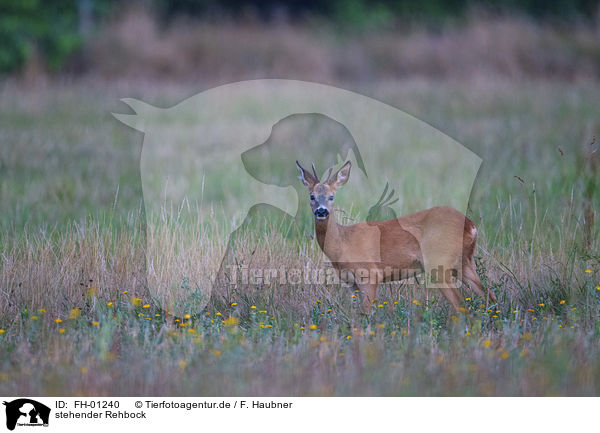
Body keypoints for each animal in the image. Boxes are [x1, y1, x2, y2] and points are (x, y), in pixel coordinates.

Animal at [296, 159, 496, 310]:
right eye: (312, 196)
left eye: (332, 196)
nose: (321, 211)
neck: (342, 244)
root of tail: (471, 225)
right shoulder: (351, 284)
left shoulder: (370, 274)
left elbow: (364, 315)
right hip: (463, 262)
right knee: (488, 294)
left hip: (439, 263)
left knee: (460, 302)